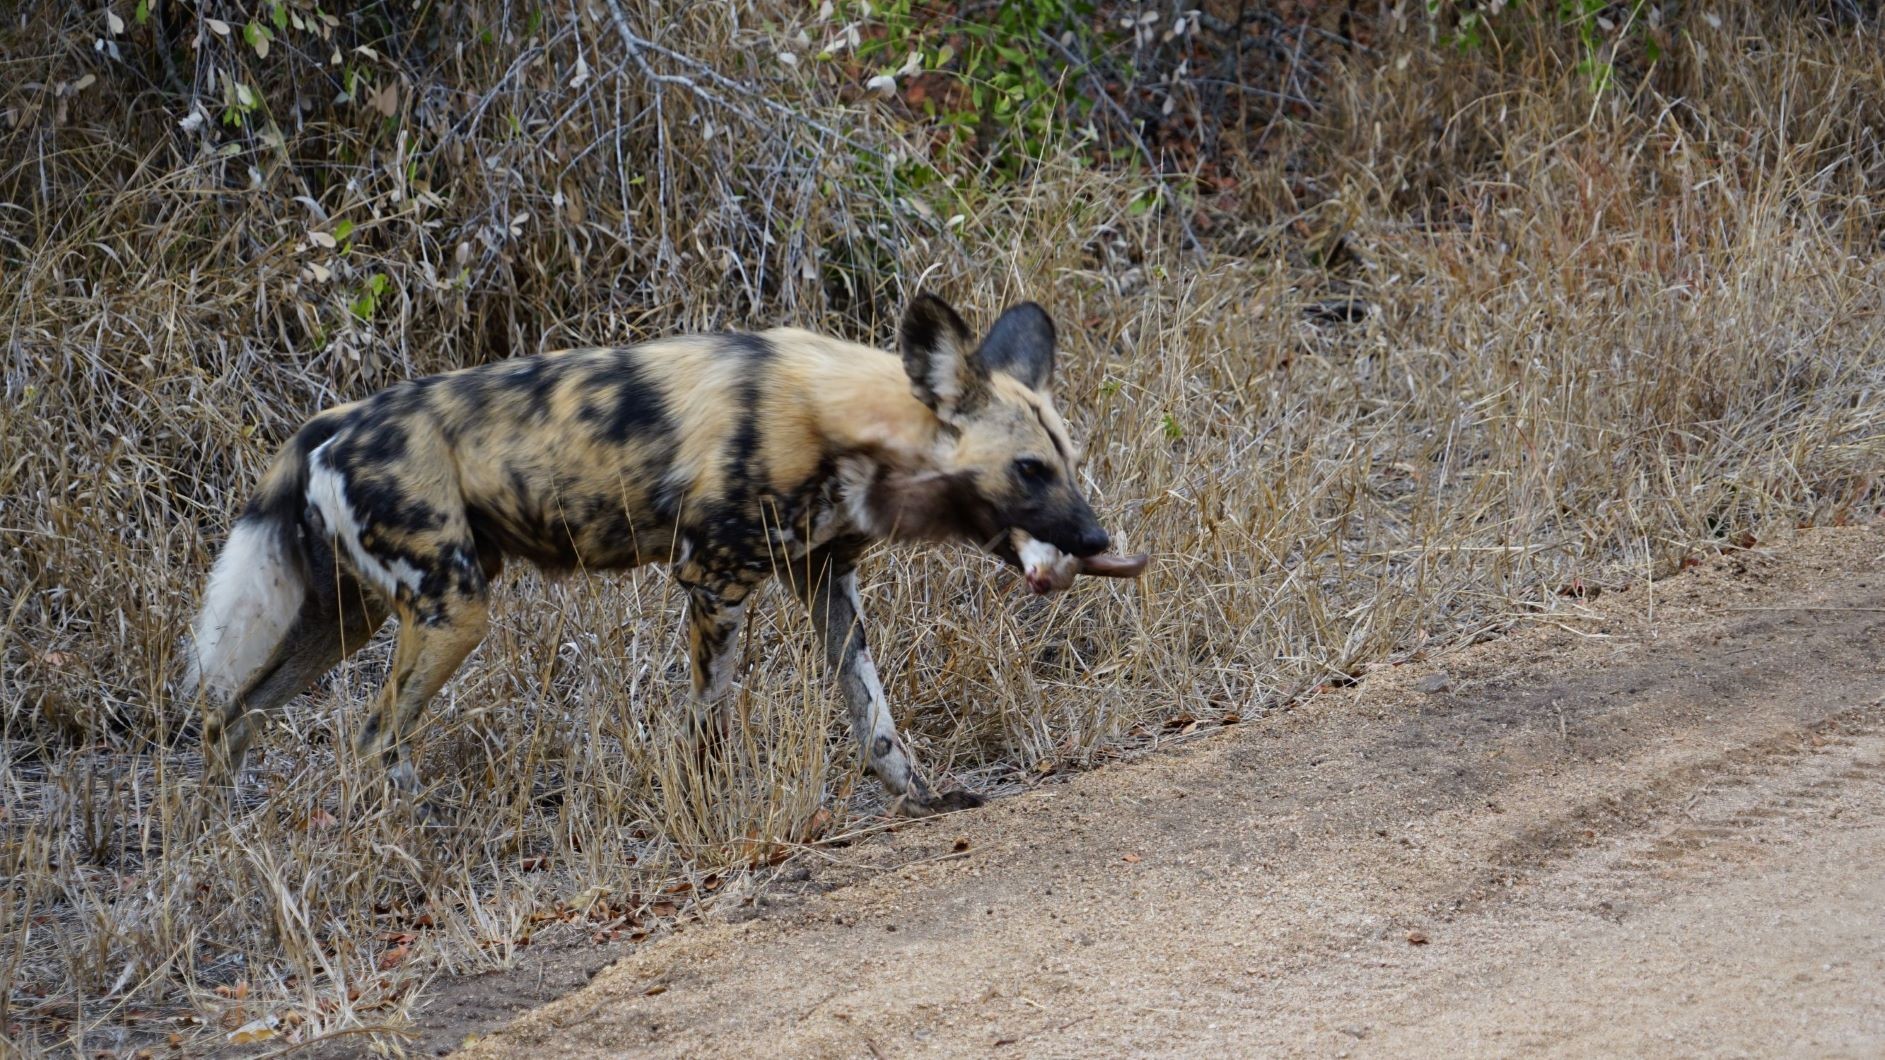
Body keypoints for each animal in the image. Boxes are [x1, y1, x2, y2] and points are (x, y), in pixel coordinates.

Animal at [180, 290, 1146, 818]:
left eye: (1070, 463)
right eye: (1028, 469)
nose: (1098, 541)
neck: (844, 420)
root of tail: (330, 422)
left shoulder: (825, 584)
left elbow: (874, 718)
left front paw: (922, 797)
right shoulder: (714, 583)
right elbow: (709, 724)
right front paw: (713, 811)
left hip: (346, 619)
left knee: (232, 718)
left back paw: (238, 837)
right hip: (453, 611)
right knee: (374, 735)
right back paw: (413, 834)